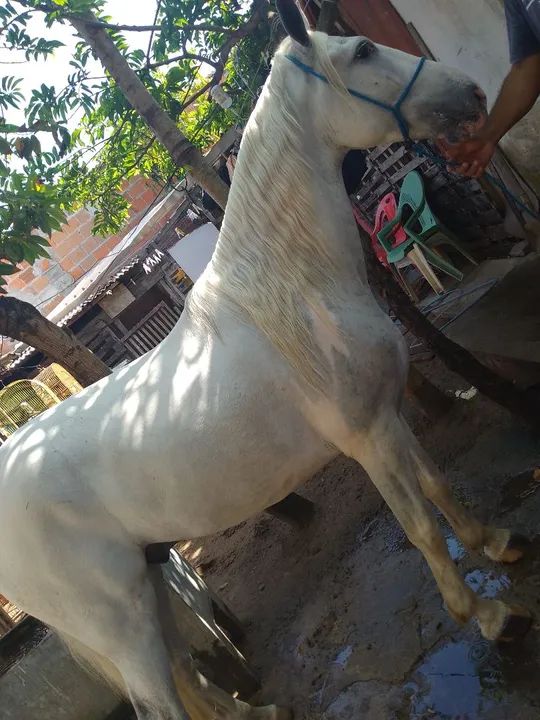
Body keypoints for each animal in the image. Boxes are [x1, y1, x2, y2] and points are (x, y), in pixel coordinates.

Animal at [0, 2, 532, 718]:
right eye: (363, 52)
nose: (473, 94)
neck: (298, 290)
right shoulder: (368, 437)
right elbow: (420, 524)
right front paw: (489, 616)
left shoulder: (389, 414)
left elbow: (439, 485)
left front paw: (497, 544)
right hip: (119, 620)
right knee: (163, 698)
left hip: (151, 582)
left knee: (188, 677)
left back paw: (262, 710)